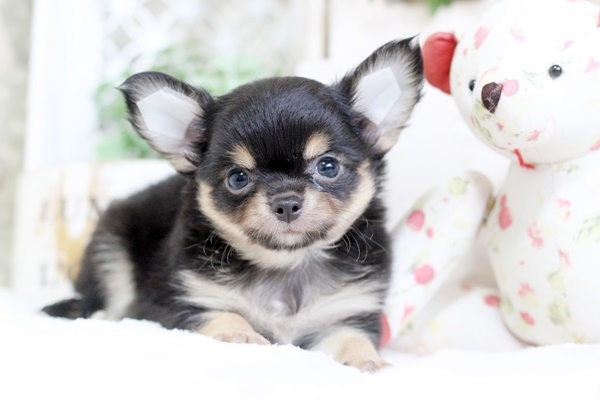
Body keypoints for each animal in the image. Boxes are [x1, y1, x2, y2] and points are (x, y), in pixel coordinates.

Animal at [43, 37, 423, 372]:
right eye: (238, 178)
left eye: (328, 166)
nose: (286, 202)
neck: (286, 264)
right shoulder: (181, 304)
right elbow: (225, 313)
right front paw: (241, 335)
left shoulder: (346, 314)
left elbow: (351, 339)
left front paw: (366, 361)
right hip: (112, 248)